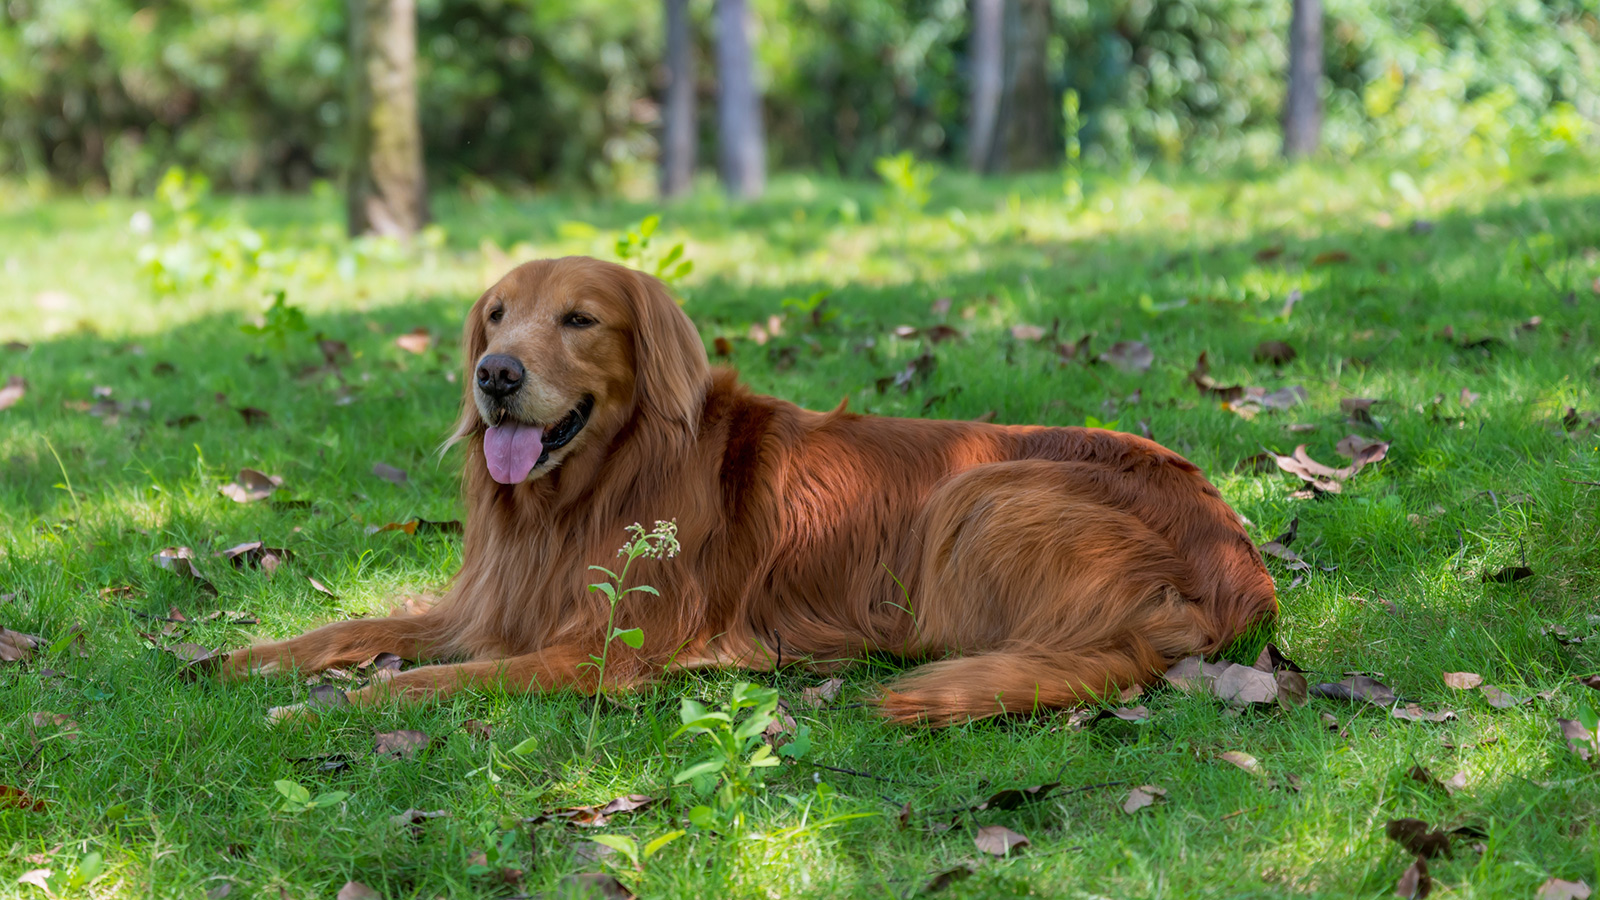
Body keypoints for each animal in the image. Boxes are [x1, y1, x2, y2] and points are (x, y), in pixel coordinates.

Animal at [222, 253, 1273, 720]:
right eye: (495, 315)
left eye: (578, 319)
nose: (496, 376)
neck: (587, 494)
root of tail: (1236, 574)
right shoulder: (491, 605)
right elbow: (355, 628)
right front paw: (242, 658)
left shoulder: (598, 651)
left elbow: (432, 679)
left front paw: (323, 707)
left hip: (978, 493)